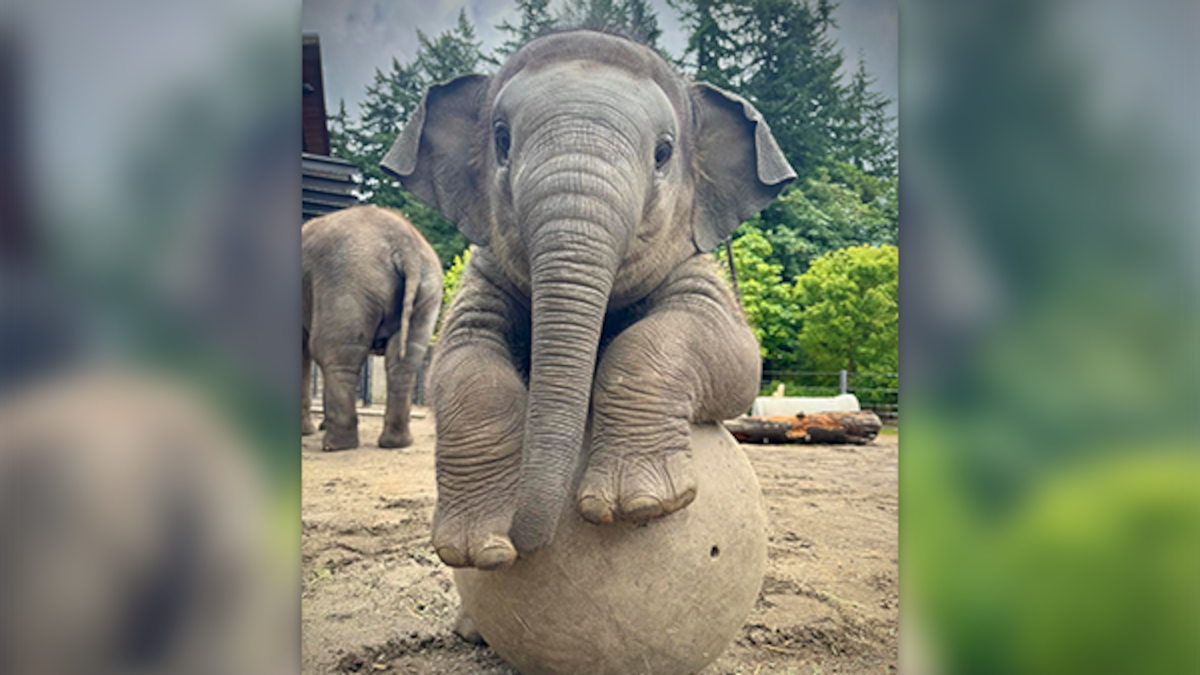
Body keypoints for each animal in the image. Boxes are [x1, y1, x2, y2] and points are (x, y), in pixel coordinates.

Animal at [302, 205, 443, 451]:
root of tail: (406, 248)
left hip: (347, 282)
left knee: (335, 355)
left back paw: (336, 445)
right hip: (428, 290)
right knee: (404, 361)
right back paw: (396, 443)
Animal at [381, 30, 795, 569]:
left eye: (663, 153)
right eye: (502, 140)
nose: (523, 541)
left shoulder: (696, 266)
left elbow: (737, 360)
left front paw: (638, 503)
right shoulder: (482, 275)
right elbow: (461, 364)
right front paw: (477, 551)